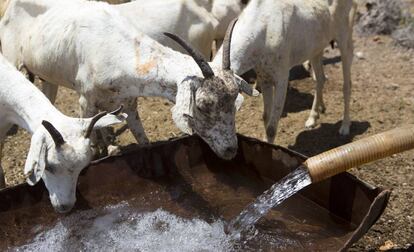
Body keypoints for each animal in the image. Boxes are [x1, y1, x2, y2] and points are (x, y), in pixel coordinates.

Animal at [0, 0, 256, 159]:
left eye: (234, 102)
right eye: (203, 105)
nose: (230, 150)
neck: (114, 46)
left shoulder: (129, 102)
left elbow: (143, 141)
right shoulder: (85, 102)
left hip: (48, 77)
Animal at [213, 0, 356, 143]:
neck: (265, 26)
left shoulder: (281, 79)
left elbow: (271, 128)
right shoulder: (264, 78)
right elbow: (266, 116)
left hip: (345, 37)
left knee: (347, 83)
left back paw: (345, 127)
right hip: (316, 49)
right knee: (321, 78)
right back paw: (312, 118)